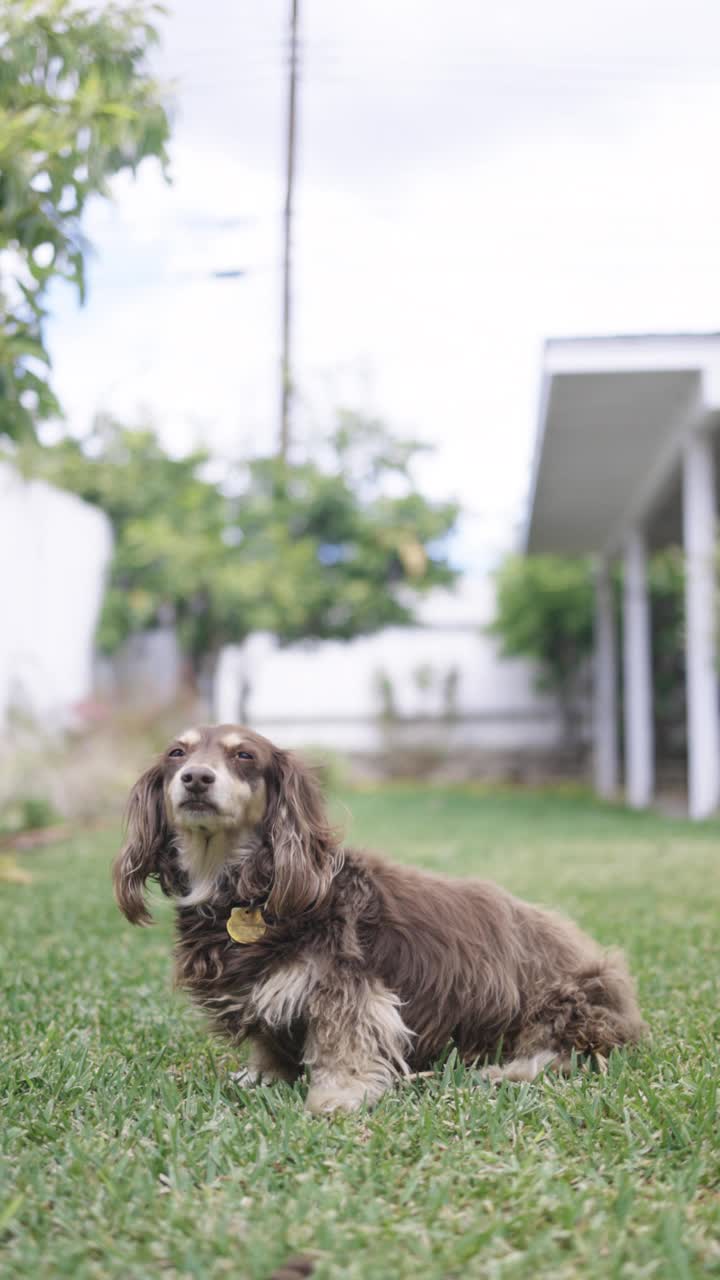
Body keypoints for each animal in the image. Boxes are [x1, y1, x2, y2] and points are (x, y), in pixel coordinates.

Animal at [113, 732, 645, 1111]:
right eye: (176, 752)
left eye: (244, 755)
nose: (196, 778)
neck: (247, 890)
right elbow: (267, 1038)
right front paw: (262, 1075)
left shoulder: (346, 985)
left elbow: (343, 1040)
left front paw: (338, 1097)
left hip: (563, 1002)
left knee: (569, 1053)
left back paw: (505, 1072)